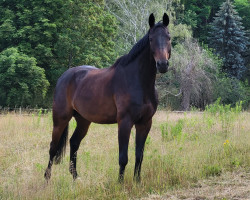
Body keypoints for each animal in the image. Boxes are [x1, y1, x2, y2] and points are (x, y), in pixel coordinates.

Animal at [44, 12, 171, 181]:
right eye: (151, 39)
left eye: (169, 37)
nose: (162, 64)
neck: (138, 81)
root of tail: (64, 76)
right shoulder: (124, 122)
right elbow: (123, 157)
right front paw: (120, 183)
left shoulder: (145, 123)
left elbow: (139, 156)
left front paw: (137, 182)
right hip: (60, 119)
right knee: (53, 147)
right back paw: (47, 178)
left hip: (83, 120)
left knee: (74, 142)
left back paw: (75, 177)